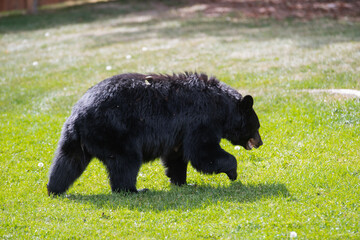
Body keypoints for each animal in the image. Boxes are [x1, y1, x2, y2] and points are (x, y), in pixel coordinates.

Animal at [46, 71, 262, 195]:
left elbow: (177, 156)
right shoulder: (200, 120)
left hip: (76, 138)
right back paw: (134, 190)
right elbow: (202, 152)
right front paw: (233, 172)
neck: (222, 107)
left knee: (68, 162)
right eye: (257, 126)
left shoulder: (180, 132)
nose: (260, 143)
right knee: (126, 162)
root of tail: (78, 114)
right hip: (116, 132)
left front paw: (181, 182)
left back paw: (54, 189)